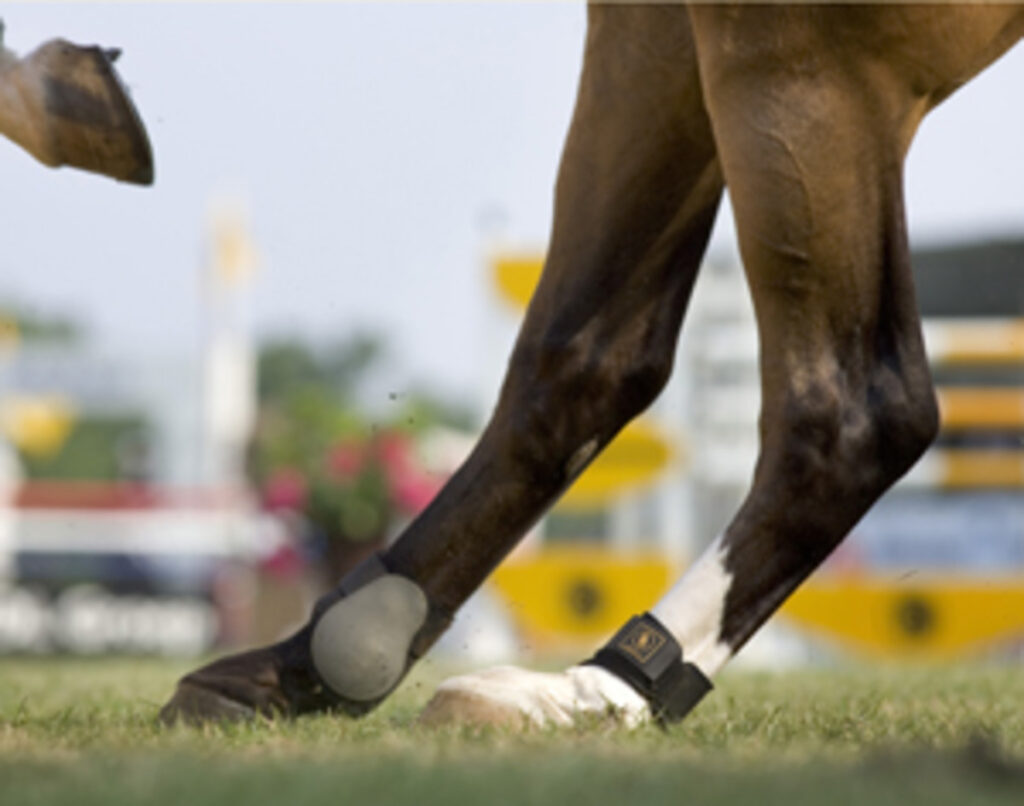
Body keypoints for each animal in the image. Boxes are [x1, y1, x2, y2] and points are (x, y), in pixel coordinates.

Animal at [161, 3, 1024, 728]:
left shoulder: (810, 40)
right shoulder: (653, 30)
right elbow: (583, 357)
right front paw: (310, 665)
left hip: (800, 66)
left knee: (856, 413)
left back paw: (602, 685)